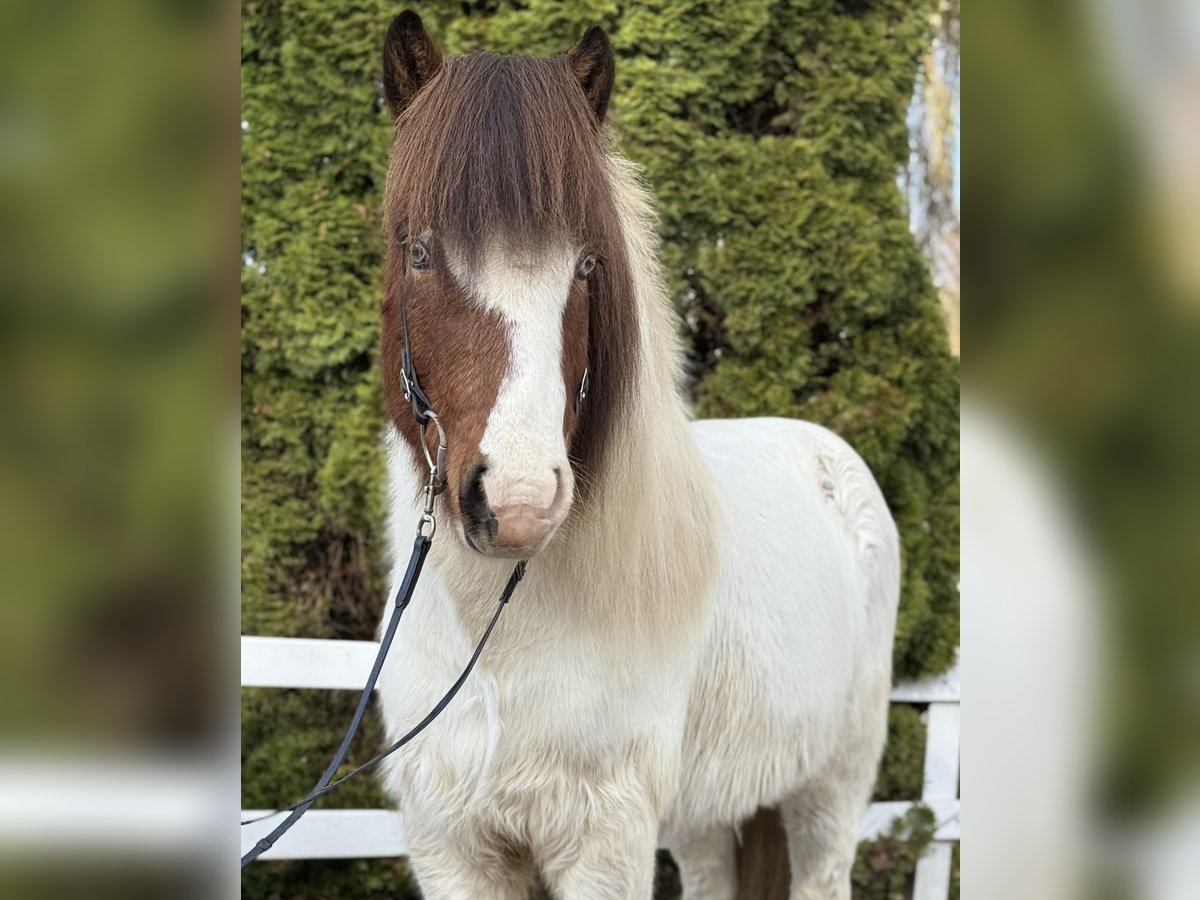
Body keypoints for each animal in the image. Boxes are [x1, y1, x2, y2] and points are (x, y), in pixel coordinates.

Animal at [373, 13, 900, 900]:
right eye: (419, 253)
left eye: (588, 263)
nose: (518, 503)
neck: (496, 644)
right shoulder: (450, 843)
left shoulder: (604, 841)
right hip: (704, 815)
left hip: (830, 788)